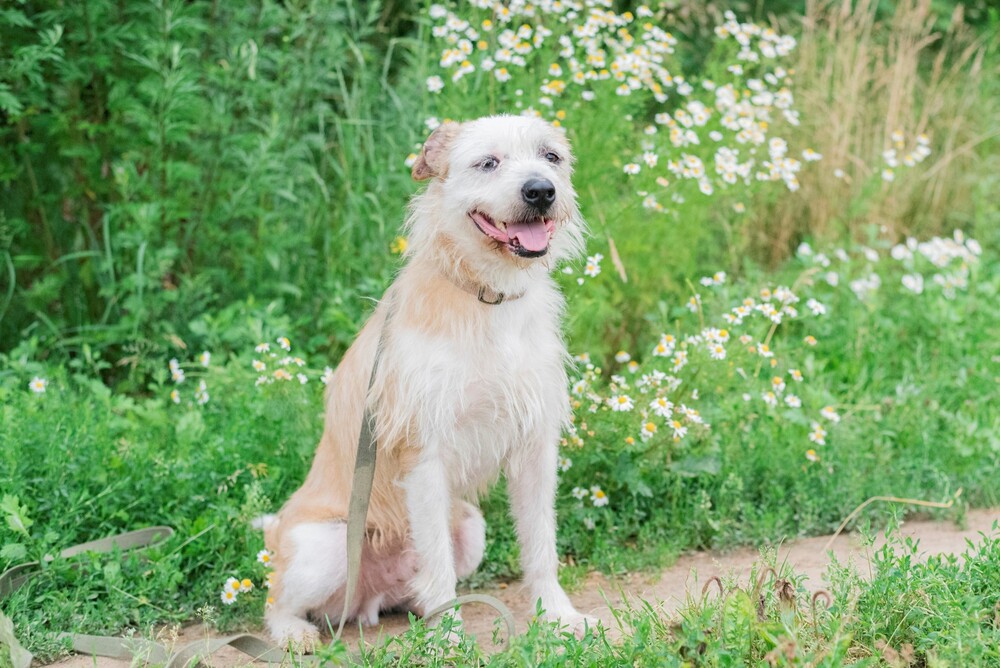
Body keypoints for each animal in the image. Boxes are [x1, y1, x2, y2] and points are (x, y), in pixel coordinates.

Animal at [262, 116, 592, 648]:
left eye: (551, 157)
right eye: (488, 162)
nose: (541, 191)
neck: (486, 299)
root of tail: (365, 599)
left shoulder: (535, 449)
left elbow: (541, 545)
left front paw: (558, 616)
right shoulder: (425, 456)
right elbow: (436, 560)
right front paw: (450, 641)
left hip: (472, 528)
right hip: (324, 546)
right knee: (274, 601)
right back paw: (295, 633)